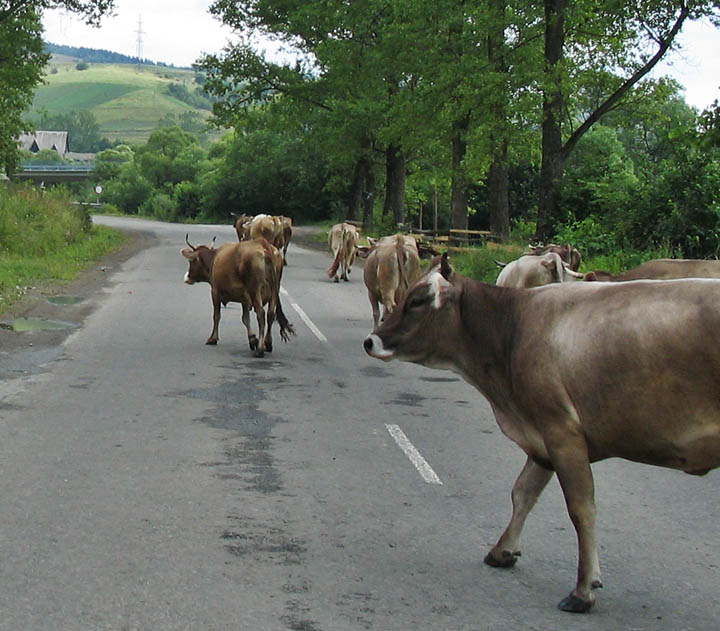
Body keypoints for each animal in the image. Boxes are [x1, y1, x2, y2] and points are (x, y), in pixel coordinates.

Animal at [362, 254, 720, 616]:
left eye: (419, 300)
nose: (370, 341)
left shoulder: (562, 431)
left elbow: (581, 509)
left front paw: (583, 589)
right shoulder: (542, 439)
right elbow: (522, 492)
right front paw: (503, 550)